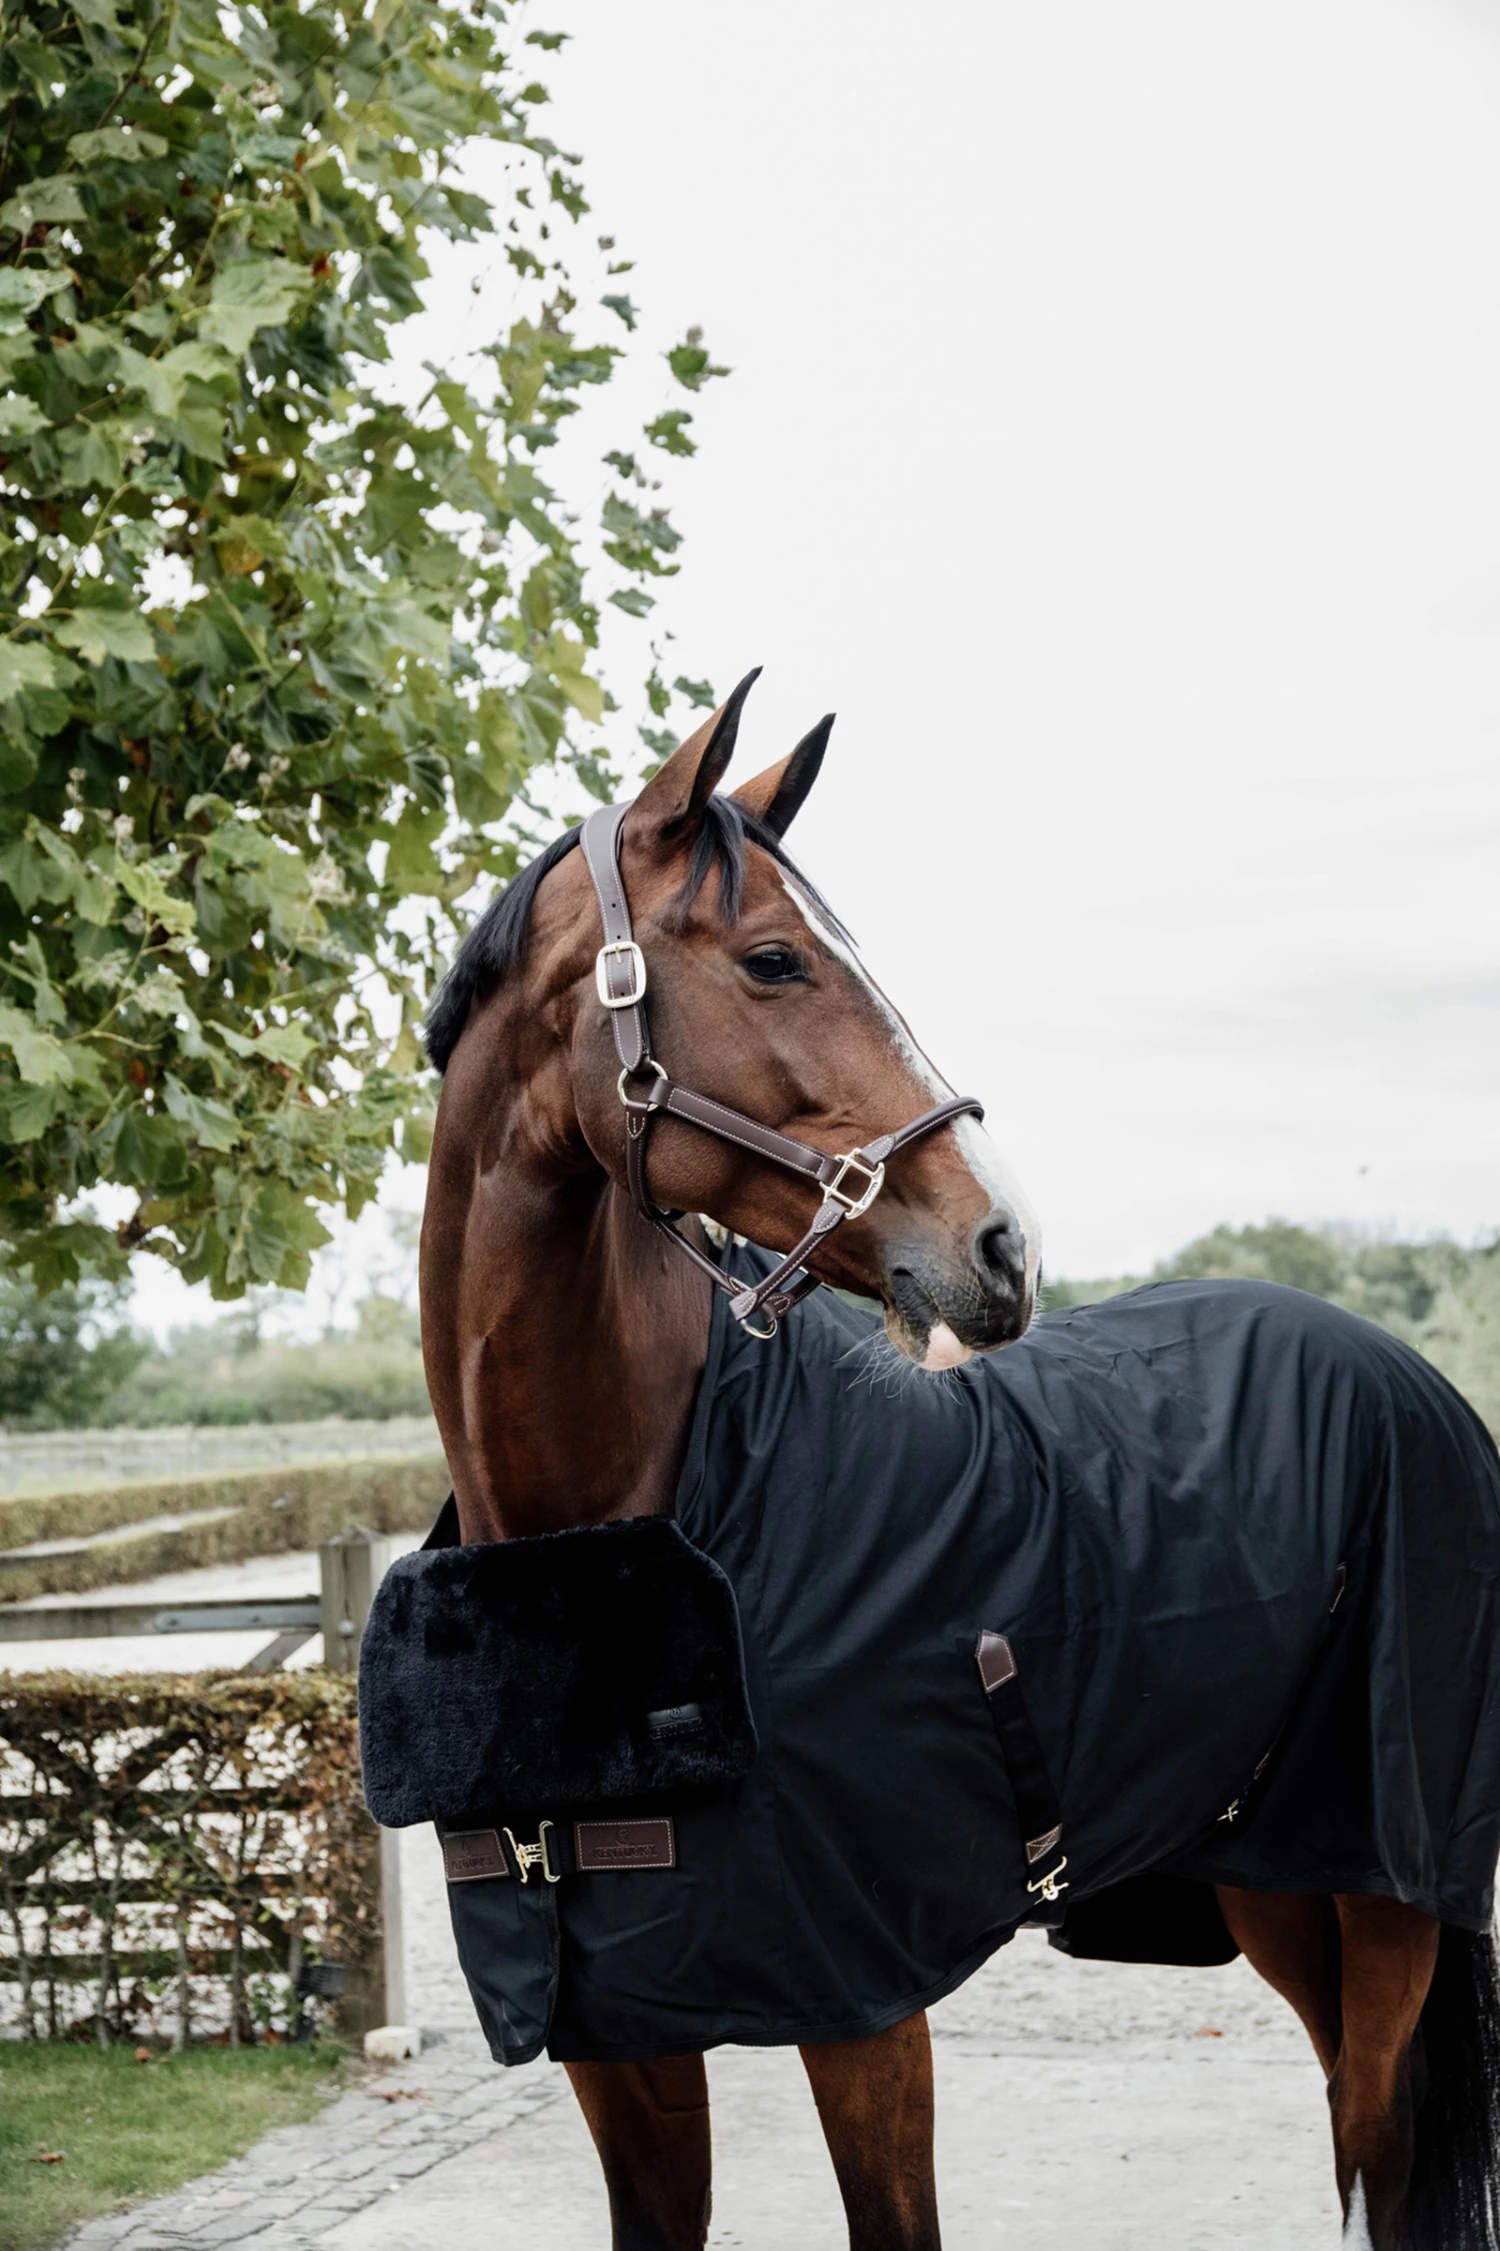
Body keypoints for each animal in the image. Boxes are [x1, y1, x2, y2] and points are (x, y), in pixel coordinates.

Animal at [414, 670, 1500, 2251]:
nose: (1004, 1247)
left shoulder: (869, 2016)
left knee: (1381, 2139)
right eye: (775, 960)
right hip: (1271, 1883)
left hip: (1388, 1892)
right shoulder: (617, 2046)